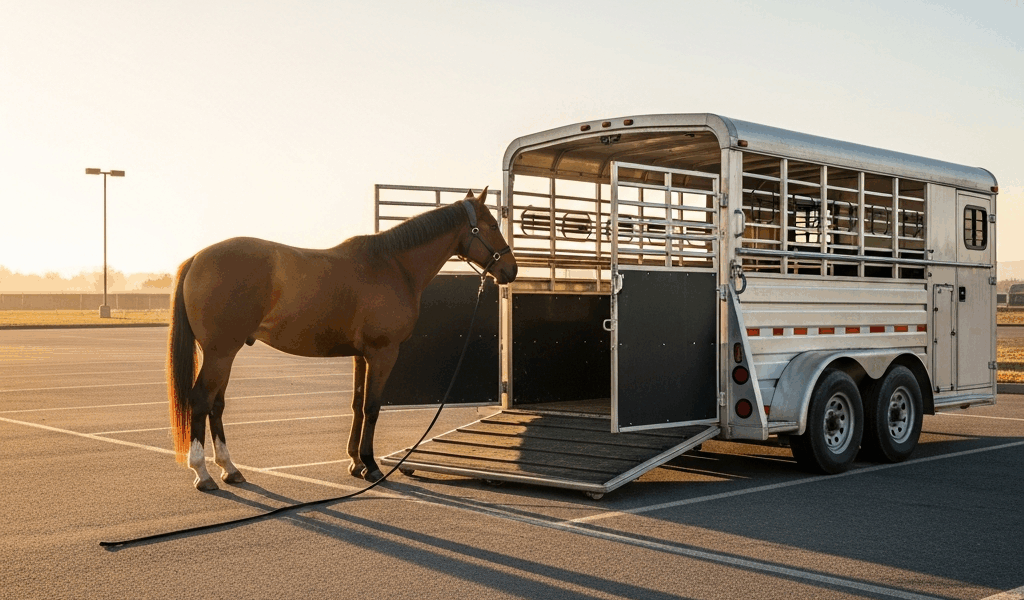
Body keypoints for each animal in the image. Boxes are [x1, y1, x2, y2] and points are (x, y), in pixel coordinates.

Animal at [166, 188, 517, 490]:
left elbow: (357, 405)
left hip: (223, 355)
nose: (511, 270)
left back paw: (230, 469)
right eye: (491, 225)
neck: (393, 264)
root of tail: (197, 258)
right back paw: (202, 472)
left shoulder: (360, 355)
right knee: (201, 401)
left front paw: (355, 463)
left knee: (216, 405)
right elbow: (372, 407)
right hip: (220, 353)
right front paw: (370, 465)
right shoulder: (382, 353)